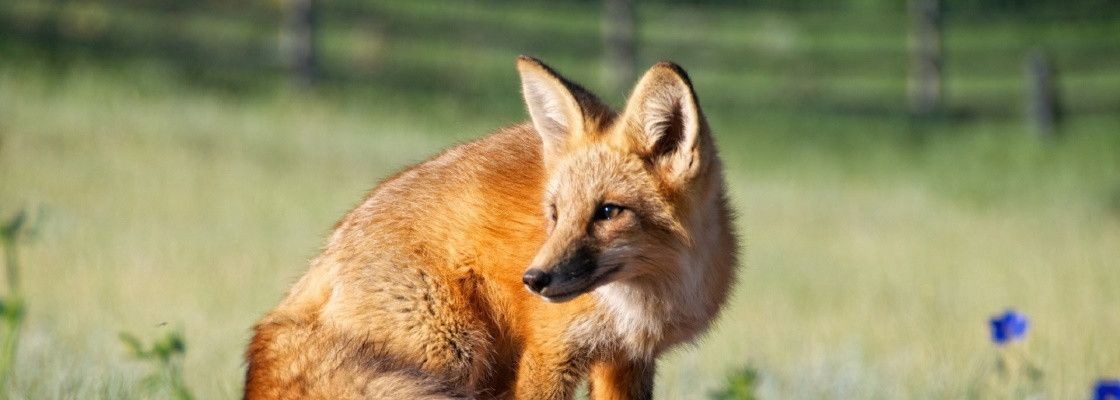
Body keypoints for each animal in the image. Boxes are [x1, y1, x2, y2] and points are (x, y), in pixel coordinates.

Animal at [244, 56, 738, 399]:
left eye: (608, 211)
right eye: (554, 213)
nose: (533, 280)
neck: (639, 302)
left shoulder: (627, 360)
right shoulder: (549, 353)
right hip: (455, 352)